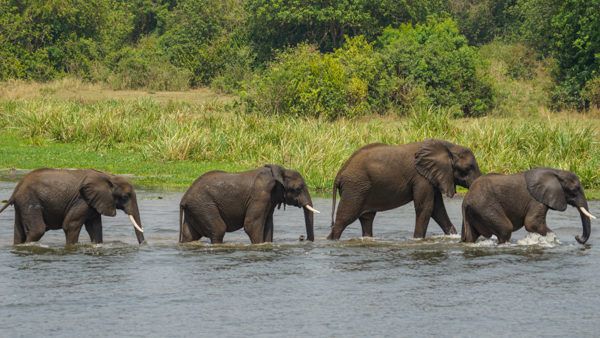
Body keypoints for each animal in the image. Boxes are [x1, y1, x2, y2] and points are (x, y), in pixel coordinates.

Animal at [0, 169, 145, 246]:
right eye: (125, 197)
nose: (143, 245)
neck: (109, 177)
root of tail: (16, 189)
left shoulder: (94, 202)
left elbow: (95, 228)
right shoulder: (82, 201)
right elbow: (70, 225)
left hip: (22, 204)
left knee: (19, 232)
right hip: (29, 200)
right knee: (37, 230)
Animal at [178, 164, 318, 243]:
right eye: (298, 188)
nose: (302, 238)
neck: (280, 171)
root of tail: (183, 199)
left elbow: (268, 226)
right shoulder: (260, 195)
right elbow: (252, 225)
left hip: (195, 209)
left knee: (189, 236)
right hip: (204, 205)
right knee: (218, 229)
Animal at [326, 139, 480, 239]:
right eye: (469, 168)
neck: (448, 147)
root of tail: (339, 173)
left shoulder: (432, 176)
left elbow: (438, 210)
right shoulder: (421, 177)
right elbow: (426, 208)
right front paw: (418, 240)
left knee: (367, 219)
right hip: (355, 188)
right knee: (344, 219)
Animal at [460, 168, 596, 244]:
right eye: (575, 189)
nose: (577, 237)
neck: (556, 172)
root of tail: (466, 199)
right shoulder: (536, 199)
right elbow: (532, 223)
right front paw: (552, 240)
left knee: (470, 236)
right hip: (485, 206)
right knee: (506, 229)